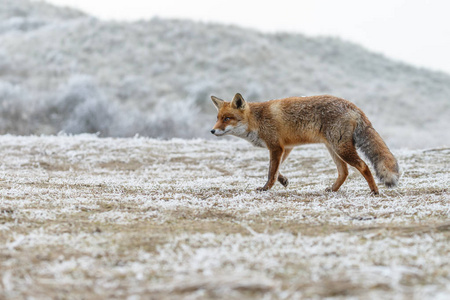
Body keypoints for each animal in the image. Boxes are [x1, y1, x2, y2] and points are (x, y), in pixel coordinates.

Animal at [209, 94, 400, 195]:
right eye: (217, 118)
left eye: (227, 118)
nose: (212, 131)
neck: (257, 120)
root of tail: (352, 105)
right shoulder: (285, 147)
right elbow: (275, 169)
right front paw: (283, 181)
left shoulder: (276, 147)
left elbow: (271, 172)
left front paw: (266, 188)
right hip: (333, 148)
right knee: (344, 172)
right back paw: (332, 189)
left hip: (341, 149)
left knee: (364, 166)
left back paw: (374, 191)